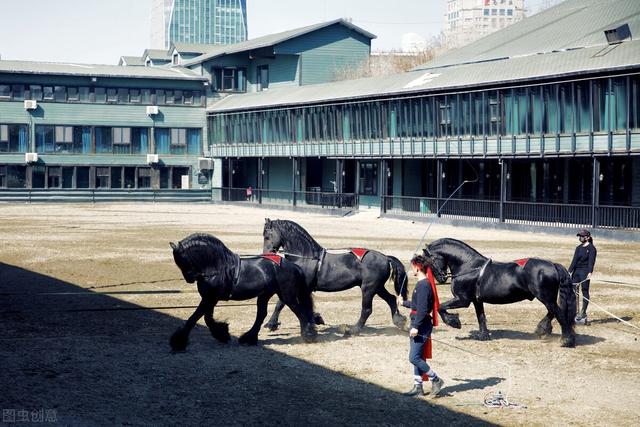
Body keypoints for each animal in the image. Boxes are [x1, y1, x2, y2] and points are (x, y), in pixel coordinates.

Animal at [169, 234, 316, 352]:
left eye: (182, 259)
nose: (189, 279)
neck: (216, 267)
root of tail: (294, 266)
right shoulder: (211, 299)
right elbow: (207, 318)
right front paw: (222, 333)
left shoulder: (209, 299)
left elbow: (194, 318)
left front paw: (178, 342)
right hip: (265, 295)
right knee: (261, 315)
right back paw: (248, 338)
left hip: (287, 296)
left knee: (299, 312)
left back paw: (308, 335)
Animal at [262, 219, 408, 336]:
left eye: (267, 236)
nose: (266, 255)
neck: (306, 256)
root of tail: (386, 257)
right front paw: (316, 319)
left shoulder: (300, 287)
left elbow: (281, 303)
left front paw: (271, 324)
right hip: (377, 287)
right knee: (391, 299)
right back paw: (399, 322)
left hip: (368, 288)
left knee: (367, 310)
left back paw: (352, 330)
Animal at [424, 237, 576, 348]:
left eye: (429, 260)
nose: (441, 278)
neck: (469, 266)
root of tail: (553, 265)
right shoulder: (476, 300)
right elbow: (481, 317)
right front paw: (483, 336)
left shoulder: (463, 299)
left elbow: (440, 307)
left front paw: (454, 322)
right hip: (547, 298)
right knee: (553, 312)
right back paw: (542, 329)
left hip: (546, 297)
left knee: (559, 313)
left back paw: (565, 340)